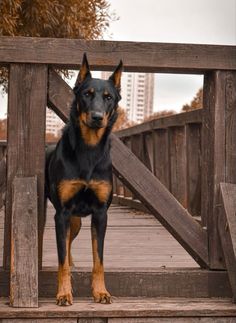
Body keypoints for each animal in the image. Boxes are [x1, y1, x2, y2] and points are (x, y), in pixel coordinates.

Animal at [44, 55, 121, 306]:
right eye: (86, 94)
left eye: (108, 97)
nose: (96, 117)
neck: (89, 149)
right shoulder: (62, 214)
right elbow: (61, 263)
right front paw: (63, 293)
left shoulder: (100, 214)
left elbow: (99, 259)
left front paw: (101, 292)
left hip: (76, 221)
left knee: (68, 244)